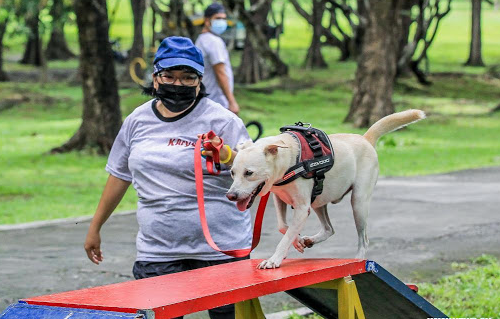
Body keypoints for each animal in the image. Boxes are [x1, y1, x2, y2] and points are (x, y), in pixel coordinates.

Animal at [227, 110, 426, 270]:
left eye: (249, 173)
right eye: (232, 172)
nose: (231, 195)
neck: (288, 160)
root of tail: (365, 139)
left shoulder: (302, 208)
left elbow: (286, 235)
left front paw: (274, 259)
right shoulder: (280, 198)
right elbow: (283, 227)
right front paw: (297, 242)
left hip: (358, 203)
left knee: (364, 239)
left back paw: (358, 260)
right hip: (318, 201)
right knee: (329, 229)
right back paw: (310, 240)